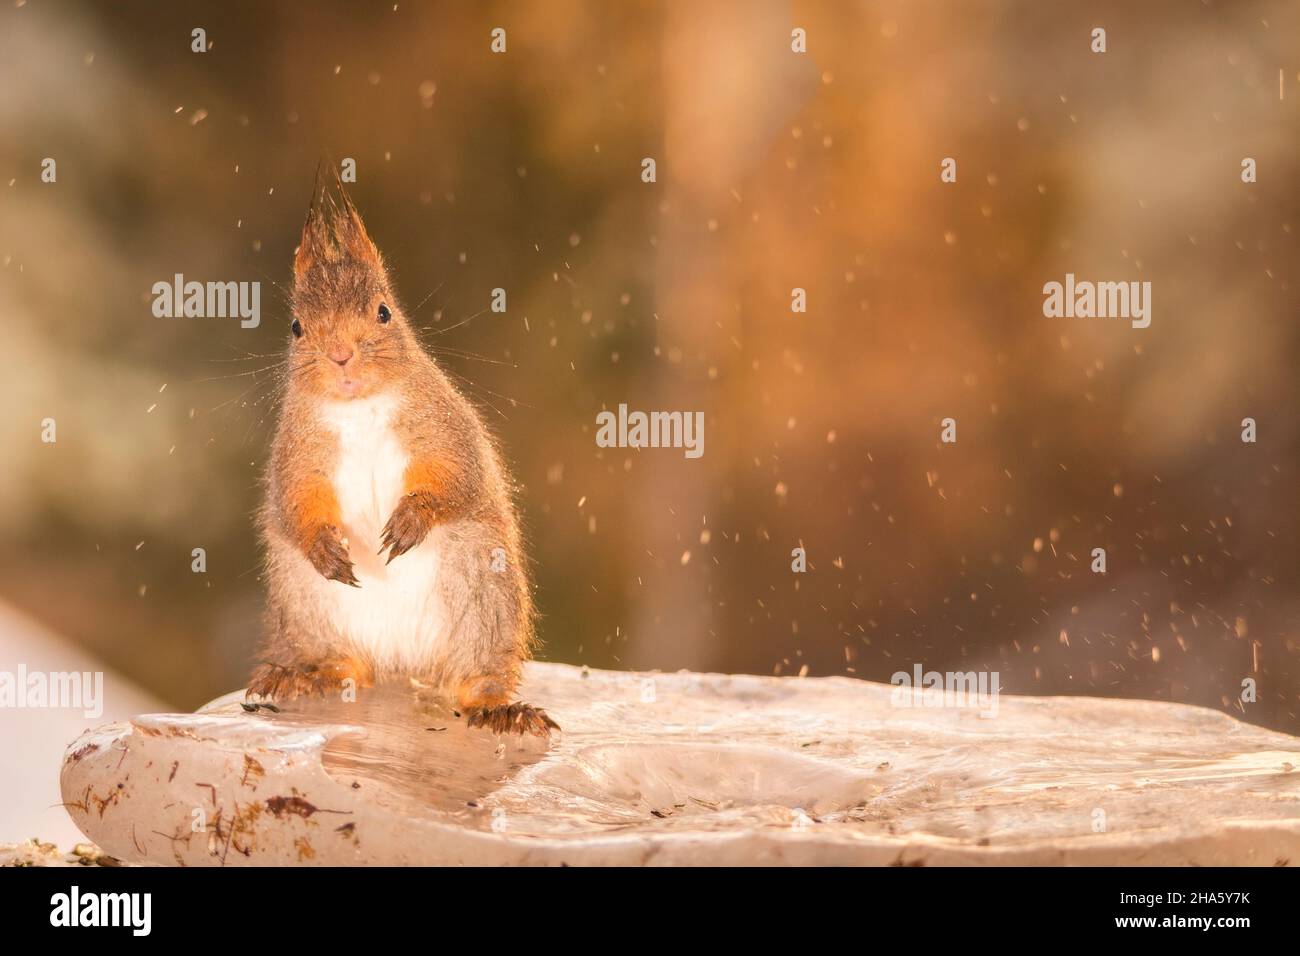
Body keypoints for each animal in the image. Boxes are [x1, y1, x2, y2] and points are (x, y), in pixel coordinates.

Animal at [248, 174, 559, 738]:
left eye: (384, 311)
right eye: (296, 327)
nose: (341, 355)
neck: (359, 408)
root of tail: (403, 666)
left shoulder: (443, 428)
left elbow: (456, 477)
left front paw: (413, 519)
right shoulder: (296, 454)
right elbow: (296, 502)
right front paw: (324, 547)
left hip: (481, 586)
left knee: (473, 678)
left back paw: (496, 707)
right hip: (305, 601)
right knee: (349, 666)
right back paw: (306, 676)